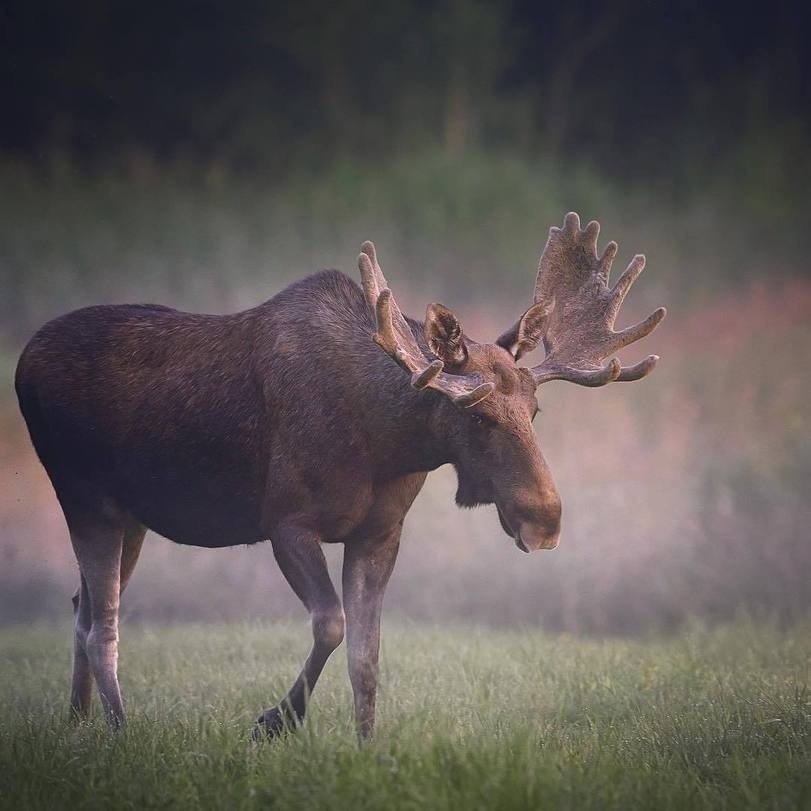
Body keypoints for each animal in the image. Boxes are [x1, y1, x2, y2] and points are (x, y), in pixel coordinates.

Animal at [15, 213, 668, 740]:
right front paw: (273, 721)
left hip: (132, 516)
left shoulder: (378, 532)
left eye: (534, 410)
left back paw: (76, 726)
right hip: (85, 496)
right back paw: (119, 731)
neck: (383, 442)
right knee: (103, 624)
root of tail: (22, 361)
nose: (546, 519)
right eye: (476, 414)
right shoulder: (285, 520)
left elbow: (367, 653)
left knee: (81, 605)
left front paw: (366, 747)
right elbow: (330, 624)